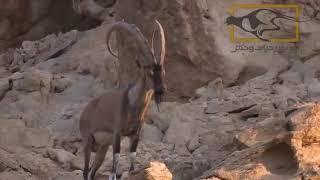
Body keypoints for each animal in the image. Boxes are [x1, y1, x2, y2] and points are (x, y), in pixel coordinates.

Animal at [79, 19, 166, 180]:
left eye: (162, 70)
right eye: (148, 69)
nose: (161, 90)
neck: (133, 104)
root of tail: (84, 112)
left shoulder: (135, 134)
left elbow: (132, 158)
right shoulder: (117, 134)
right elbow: (115, 163)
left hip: (102, 148)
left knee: (93, 172)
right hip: (87, 140)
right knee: (86, 171)